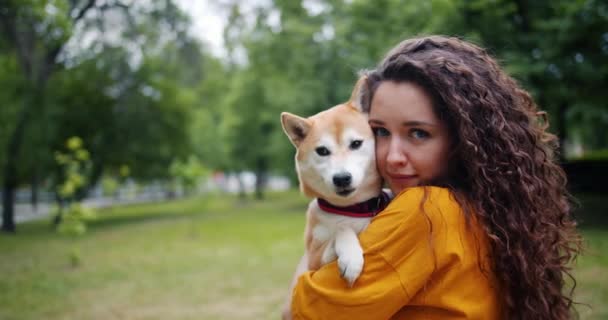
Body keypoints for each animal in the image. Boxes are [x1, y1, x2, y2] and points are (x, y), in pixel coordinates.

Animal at [282, 78, 390, 284]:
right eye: (322, 151)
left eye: (356, 143)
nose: (341, 178)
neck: (352, 210)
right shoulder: (313, 261)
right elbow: (342, 230)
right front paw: (350, 256)